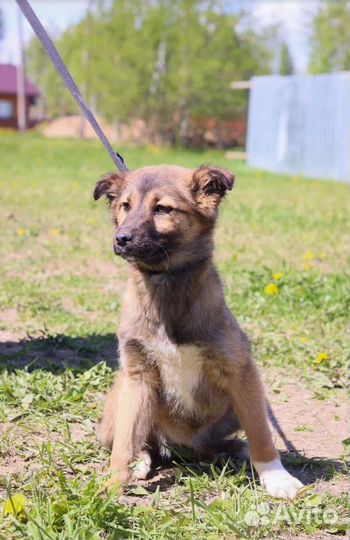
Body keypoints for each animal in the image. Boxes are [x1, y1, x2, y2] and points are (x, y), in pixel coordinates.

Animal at [93, 165, 304, 498]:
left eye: (162, 208)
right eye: (125, 206)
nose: (121, 239)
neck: (168, 285)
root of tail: (180, 446)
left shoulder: (241, 371)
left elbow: (261, 433)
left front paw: (276, 476)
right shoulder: (138, 375)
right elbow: (124, 443)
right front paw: (112, 484)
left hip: (235, 406)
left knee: (219, 442)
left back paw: (234, 449)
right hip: (121, 396)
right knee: (137, 439)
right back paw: (141, 461)